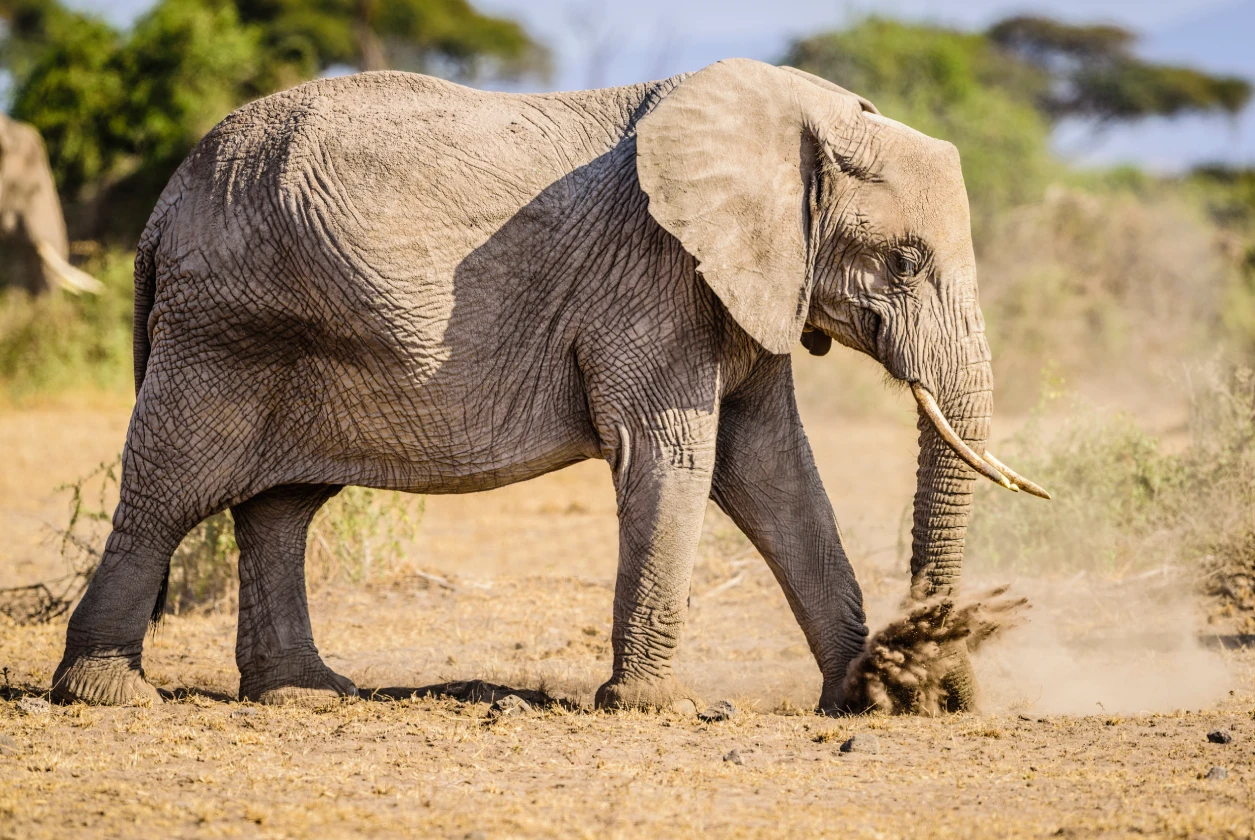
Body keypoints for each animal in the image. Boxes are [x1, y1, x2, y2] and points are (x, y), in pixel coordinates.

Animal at [51, 58, 1047, 711]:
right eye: (904, 262)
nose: (930, 680)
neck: (791, 115)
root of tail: (162, 208)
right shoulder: (653, 272)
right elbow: (674, 457)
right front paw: (657, 710)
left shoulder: (749, 279)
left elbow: (774, 472)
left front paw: (862, 698)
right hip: (223, 327)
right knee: (171, 490)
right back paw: (108, 697)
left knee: (280, 508)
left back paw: (305, 695)